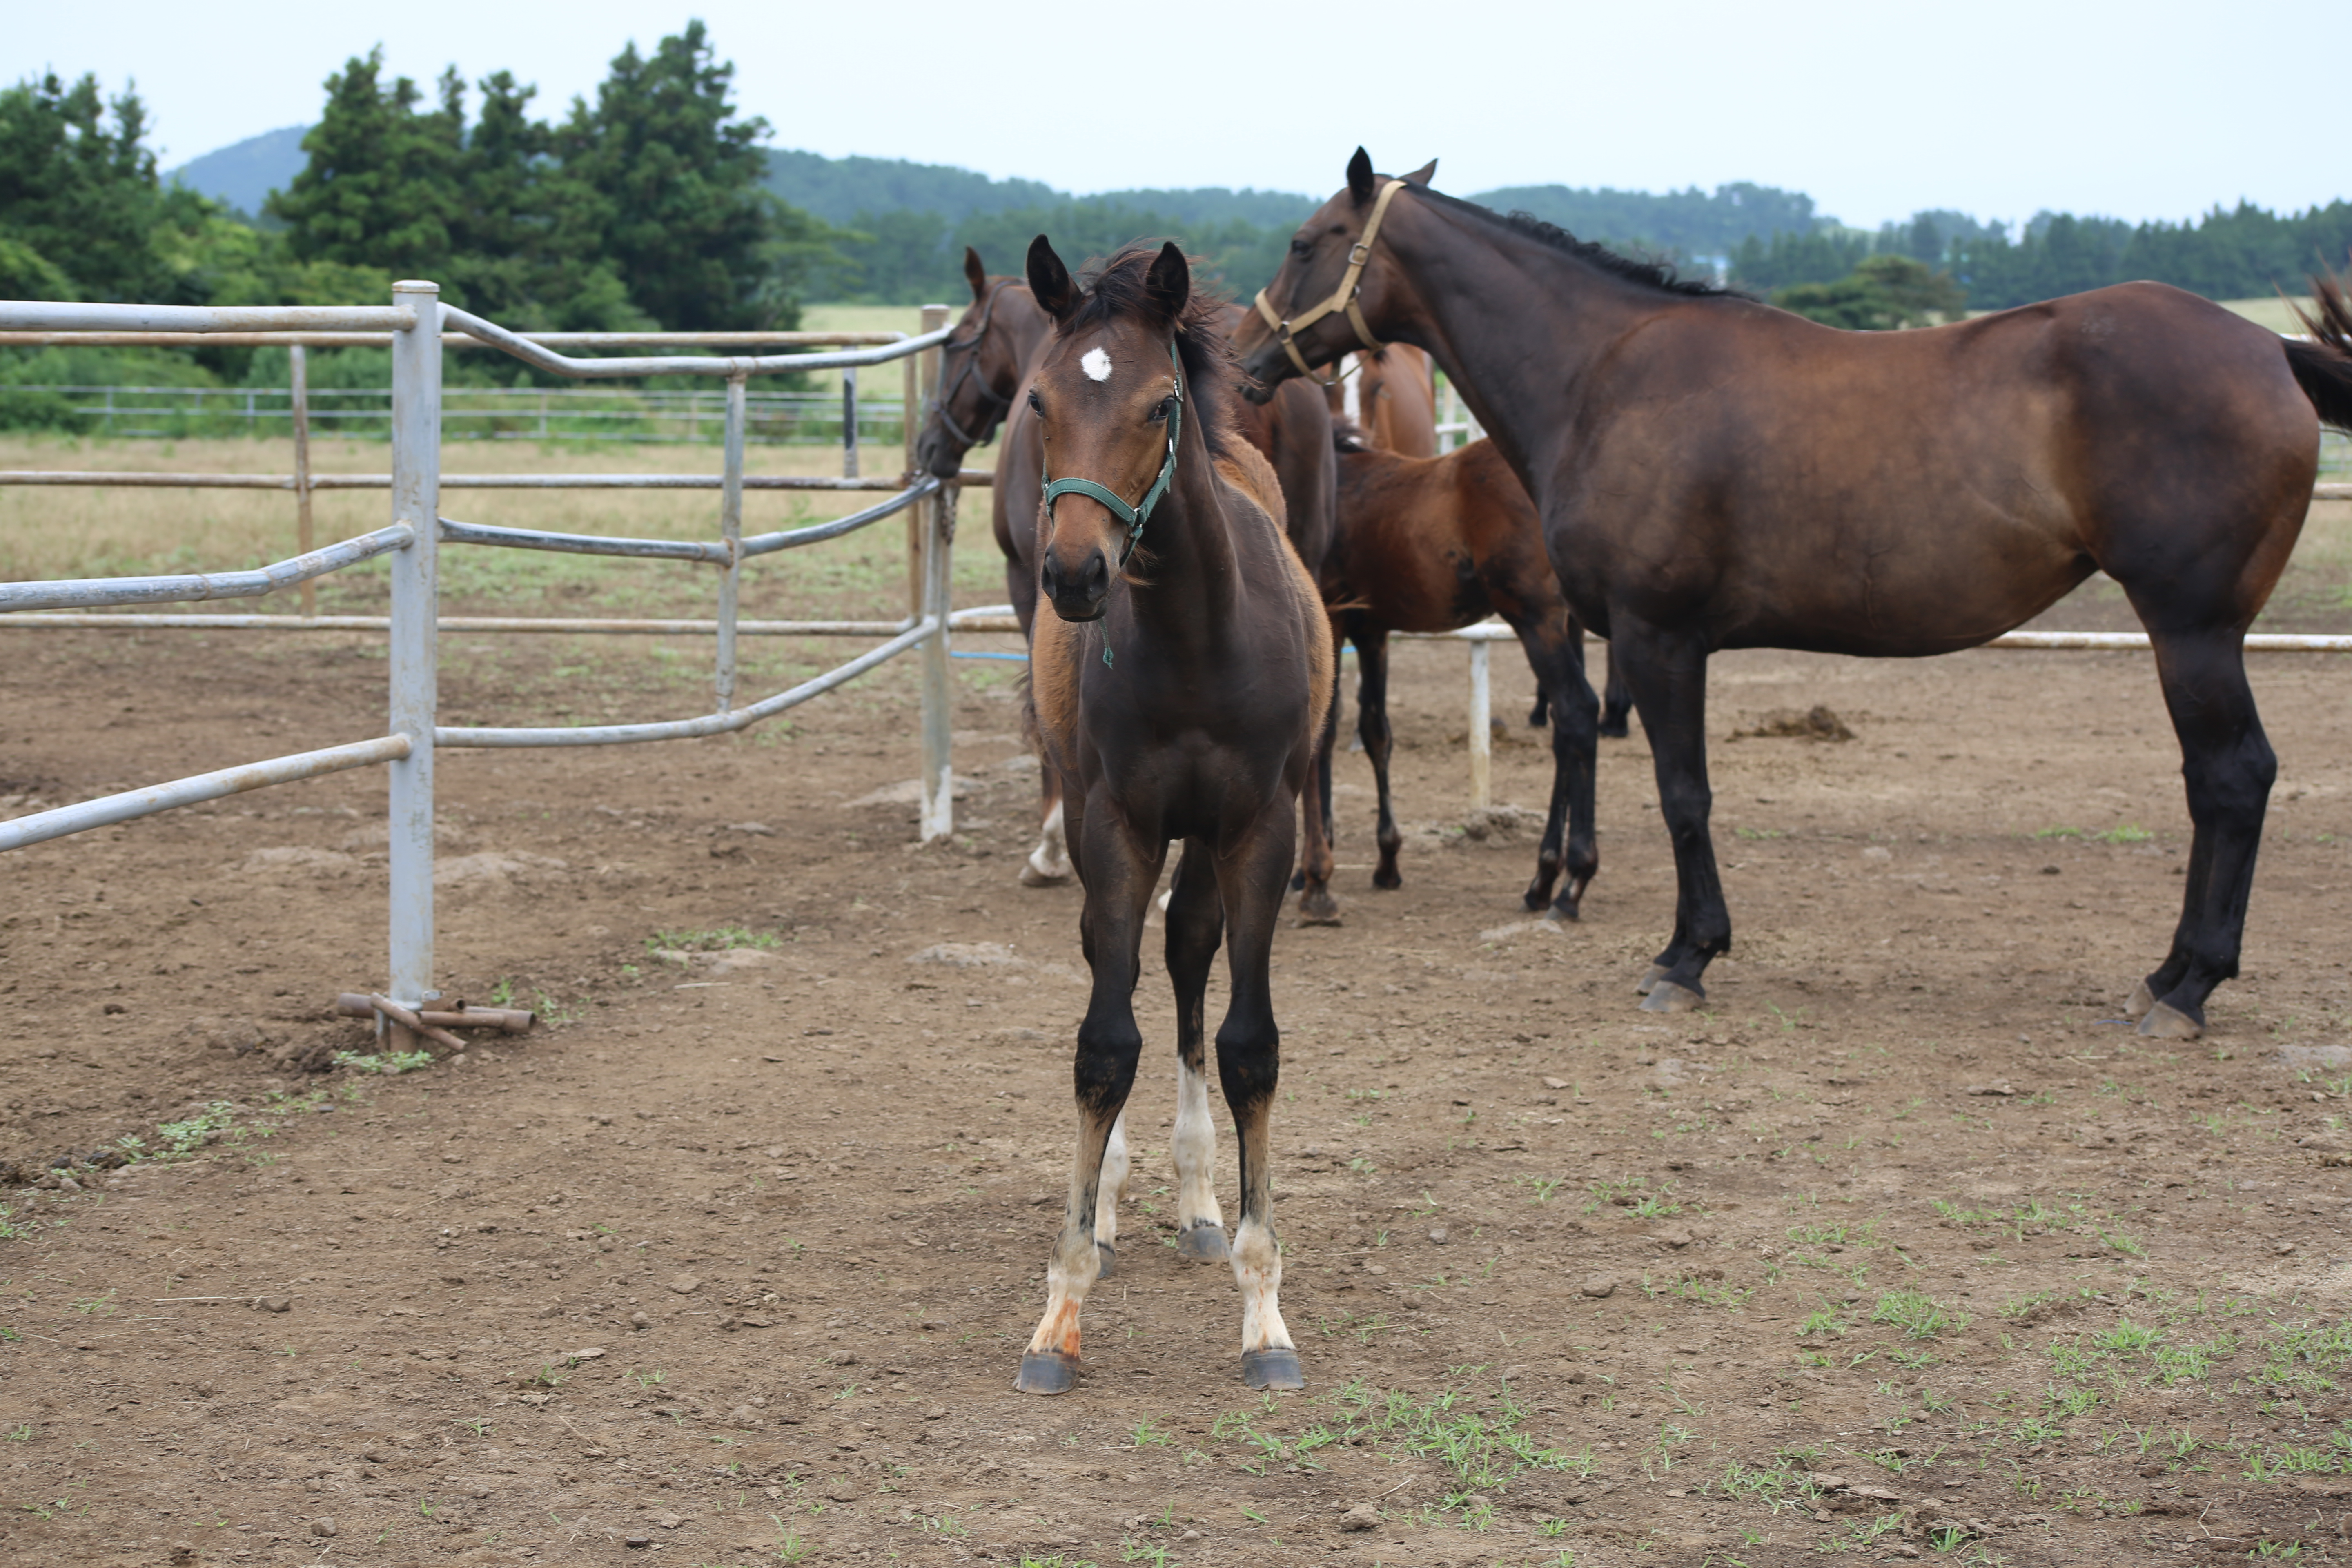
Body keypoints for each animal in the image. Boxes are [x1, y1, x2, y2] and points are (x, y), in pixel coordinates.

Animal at [1242, 150, 2342, 1044]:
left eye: (1305, 242)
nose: (1250, 357)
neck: (1602, 373)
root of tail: (2266, 352)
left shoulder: (1657, 635)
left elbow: (1682, 793)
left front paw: (1684, 956)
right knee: (2210, 782)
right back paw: (2168, 972)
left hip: (2191, 629)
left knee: (2233, 777)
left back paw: (2187, 987)